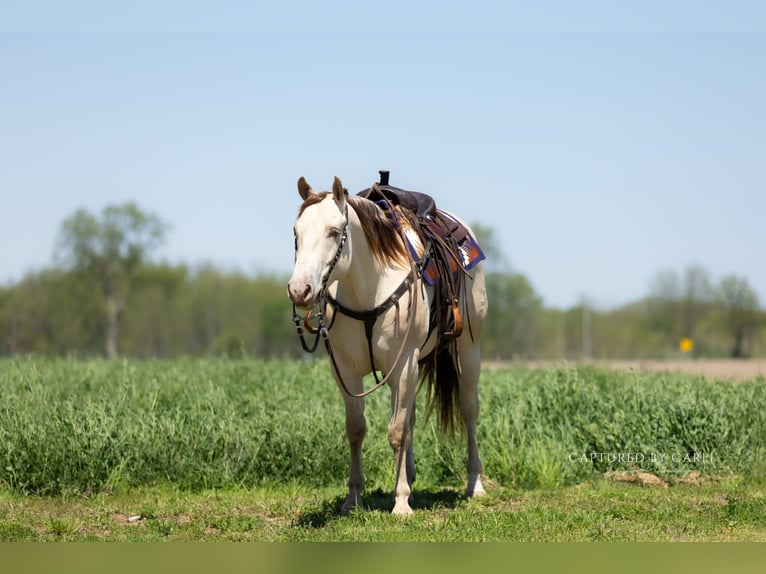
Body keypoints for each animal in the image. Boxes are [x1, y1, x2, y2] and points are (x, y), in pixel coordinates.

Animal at [287, 175, 488, 516]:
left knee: (468, 411)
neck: (368, 289)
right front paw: (353, 498)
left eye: (334, 231)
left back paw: (475, 484)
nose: (300, 290)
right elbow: (357, 429)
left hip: (468, 350)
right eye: (296, 233)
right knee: (411, 416)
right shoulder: (345, 370)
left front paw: (401, 502)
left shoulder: (404, 363)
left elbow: (397, 431)